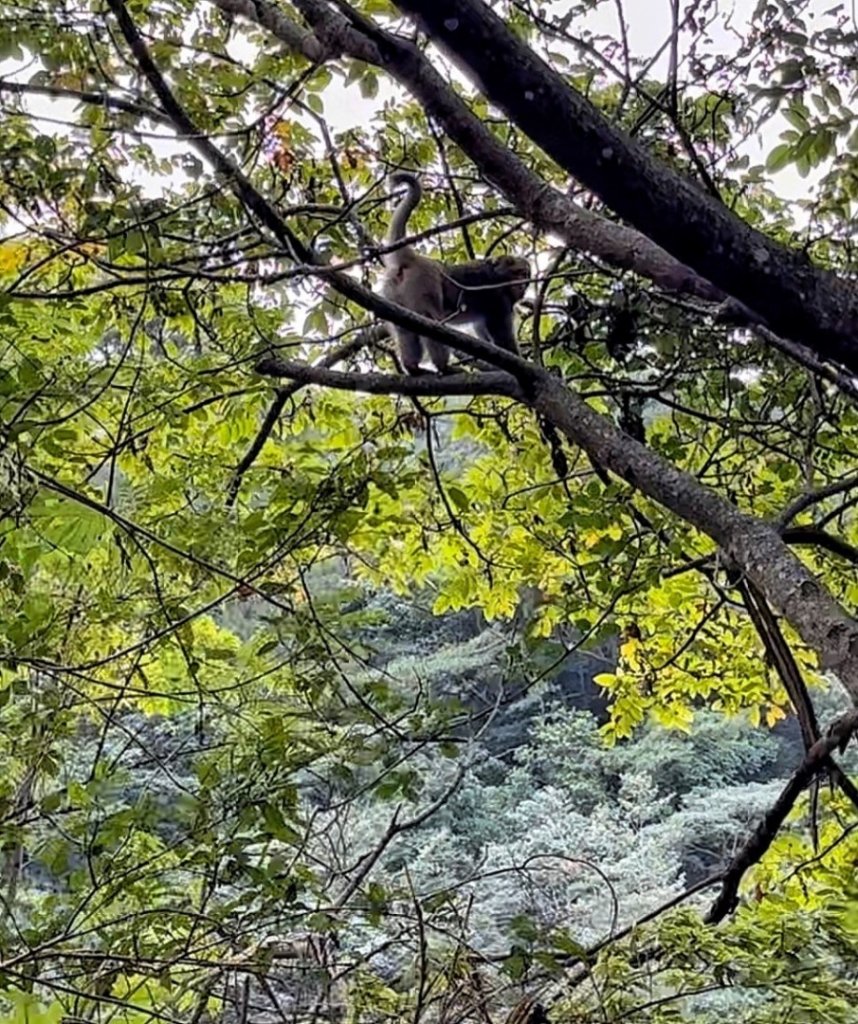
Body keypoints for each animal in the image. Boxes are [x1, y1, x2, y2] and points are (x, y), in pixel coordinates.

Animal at [382, 169, 532, 374]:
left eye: (526, 276)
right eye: (518, 273)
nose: (522, 285)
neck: (498, 275)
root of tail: (414, 259)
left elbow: (483, 332)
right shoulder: (499, 299)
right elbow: (502, 337)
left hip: (394, 292)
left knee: (405, 328)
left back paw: (412, 367)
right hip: (424, 282)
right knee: (431, 319)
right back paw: (444, 367)